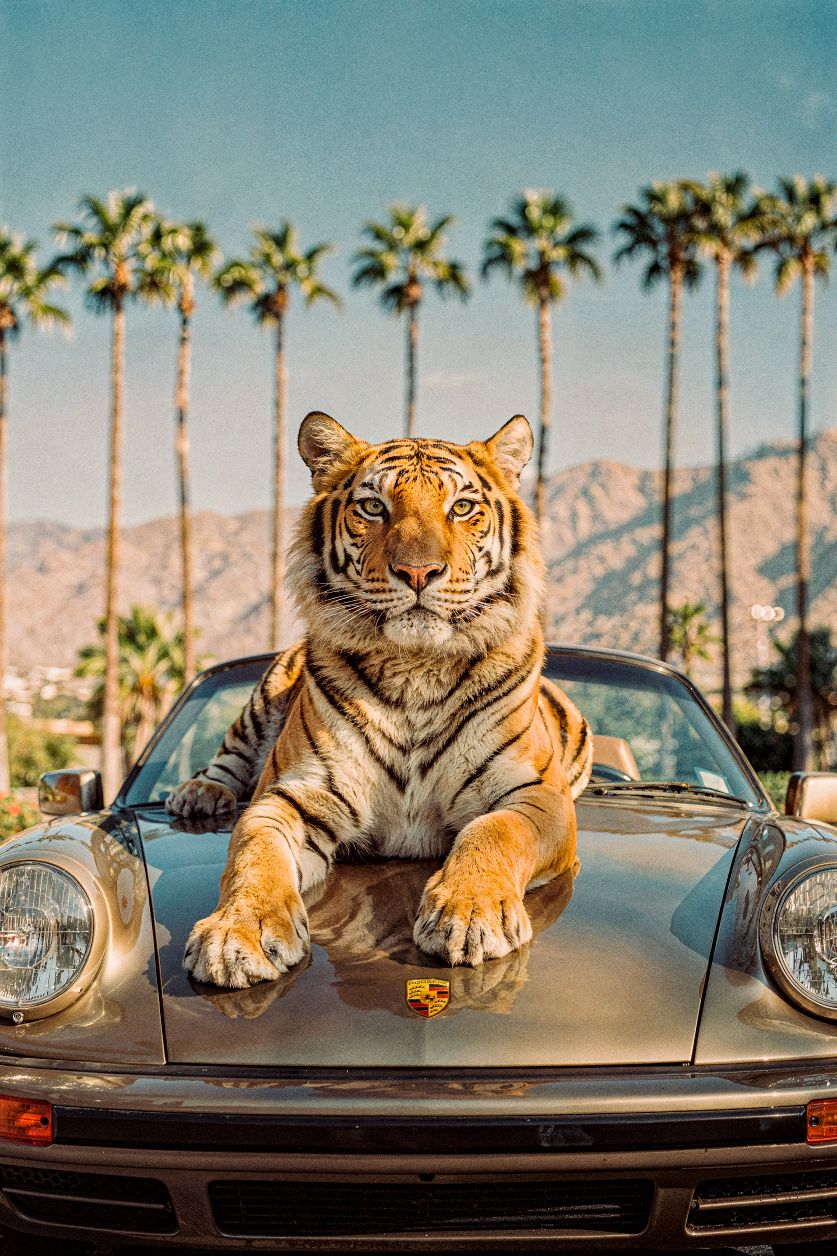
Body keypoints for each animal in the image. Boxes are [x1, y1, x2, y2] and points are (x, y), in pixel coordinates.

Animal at [169, 411, 592, 988]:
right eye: (374, 507)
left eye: (462, 508)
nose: (418, 572)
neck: (416, 666)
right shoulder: (290, 796)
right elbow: (253, 854)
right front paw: (238, 933)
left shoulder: (538, 795)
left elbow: (493, 832)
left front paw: (470, 914)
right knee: (227, 759)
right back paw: (197, 793)